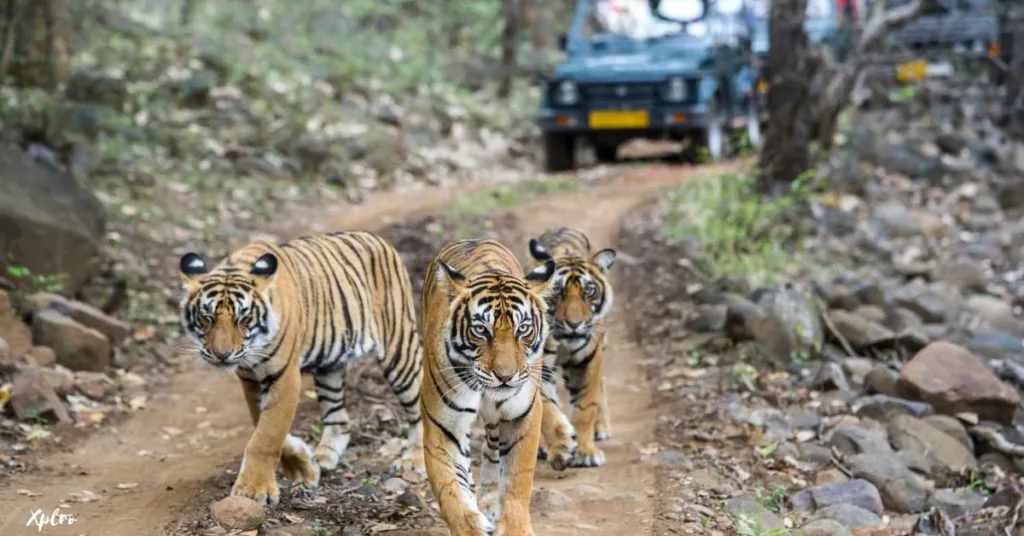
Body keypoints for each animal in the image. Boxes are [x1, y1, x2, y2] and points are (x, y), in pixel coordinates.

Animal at [178, 231, 425, 508]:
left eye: (244, 318)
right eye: (206, 318)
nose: (222, 355)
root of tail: (376, 238)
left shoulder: (285, 376)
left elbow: (267, 434)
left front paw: (254, 490)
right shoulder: (250, 379)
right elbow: (263, 425)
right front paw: (304, 468)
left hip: (399, 349)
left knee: (419, 406)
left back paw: (414, 461)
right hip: (330, 366)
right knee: (339, 418)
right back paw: (324, 456)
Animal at [417, 239, 557, 536]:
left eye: (523, 329)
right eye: (481, 330)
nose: (505, 376)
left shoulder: (522, 414)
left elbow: (517, 478)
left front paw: (514, 527)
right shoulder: (443, 425)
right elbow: (450, 490)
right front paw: (469, 526)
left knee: (492, 449)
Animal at [528, 226, 614, 469]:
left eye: (589, 291)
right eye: (558, 292)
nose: (574, 324)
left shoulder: (588, 360)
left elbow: (585, 407)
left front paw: (586, 452)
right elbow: (547, 409)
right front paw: (561, 446)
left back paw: (601, 428)